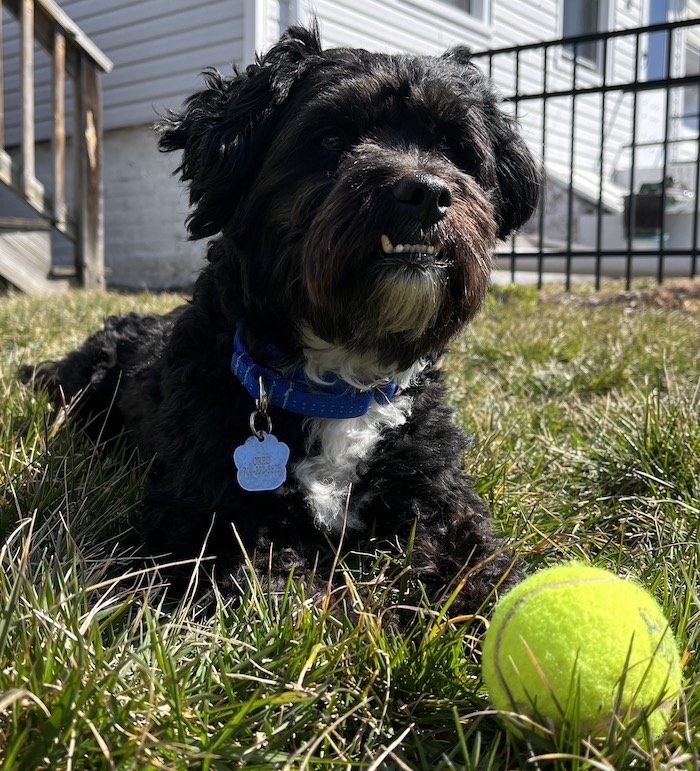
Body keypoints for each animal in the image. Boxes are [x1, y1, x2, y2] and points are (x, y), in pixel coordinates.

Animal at [20, 25, 536, 608]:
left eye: (451, 148)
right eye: (330, 139)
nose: (427, 192)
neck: (339, 386)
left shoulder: (437, 492)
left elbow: (478, 564)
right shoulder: (205, 519)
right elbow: (278, 586)